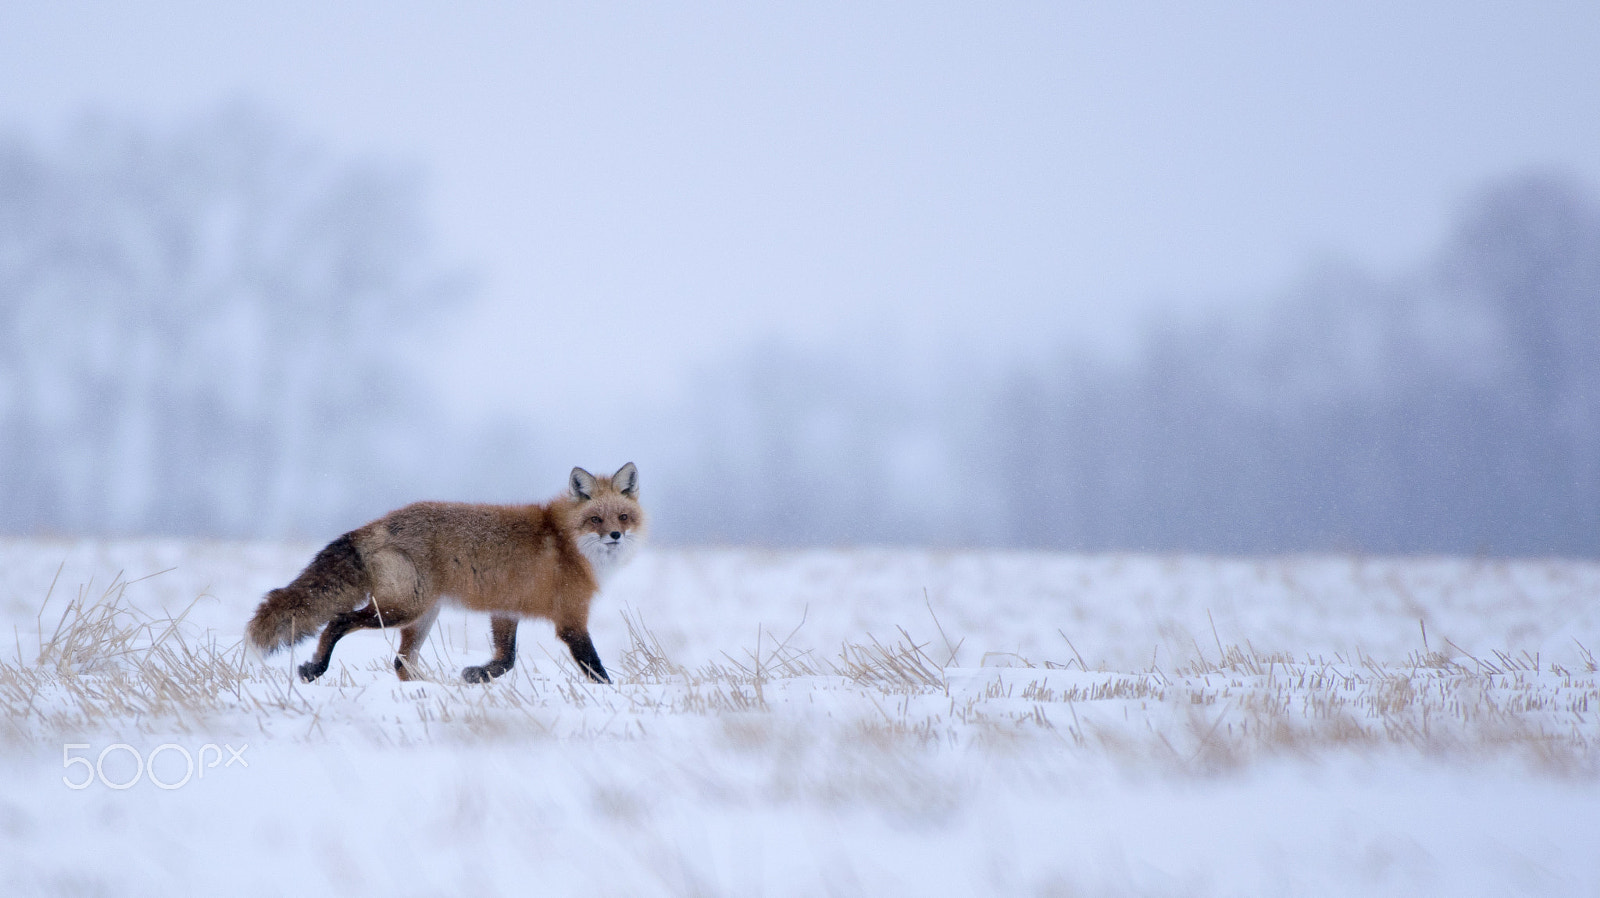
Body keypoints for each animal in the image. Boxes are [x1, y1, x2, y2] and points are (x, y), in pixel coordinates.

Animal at [245, 462, 643, 685]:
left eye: (623, 517)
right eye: (595, 519)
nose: (615, 535)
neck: (566, 543)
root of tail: (377, 524)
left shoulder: (505, 610)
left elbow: (506, 659)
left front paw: (476, 677)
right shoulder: (571, 618)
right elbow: (595, 668)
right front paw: (612, 696)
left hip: (421, 616)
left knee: (400, 662)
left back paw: (427, 692)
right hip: (401, 610)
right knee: (338, 621)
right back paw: (315, 668)